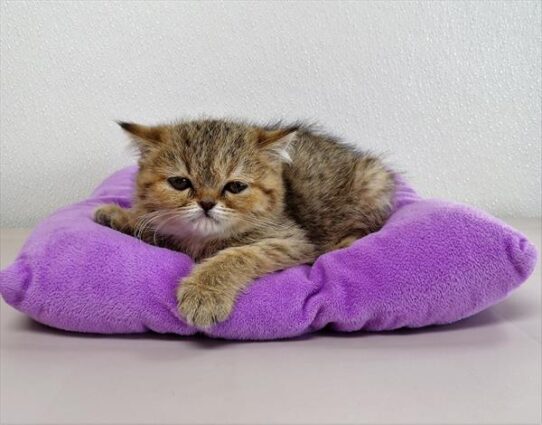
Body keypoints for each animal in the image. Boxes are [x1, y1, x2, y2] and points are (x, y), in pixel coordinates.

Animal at [95, 117, 396, 326]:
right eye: (180, 183)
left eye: (236, 186)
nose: (206, 203)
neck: (201, 241)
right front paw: (119, 214)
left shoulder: (291, 240)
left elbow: (237, 255)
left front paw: (204, 294)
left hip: (373, 180)